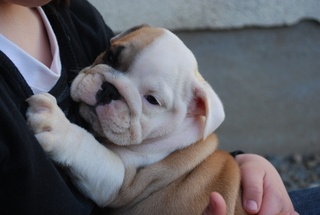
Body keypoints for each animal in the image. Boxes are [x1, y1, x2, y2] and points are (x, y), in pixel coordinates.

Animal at [27, 24, 248, 214]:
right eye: (111, 56)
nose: (110, 90)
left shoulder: (120, 182)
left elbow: (89, 150)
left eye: (152, 100)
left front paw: (57, 126)